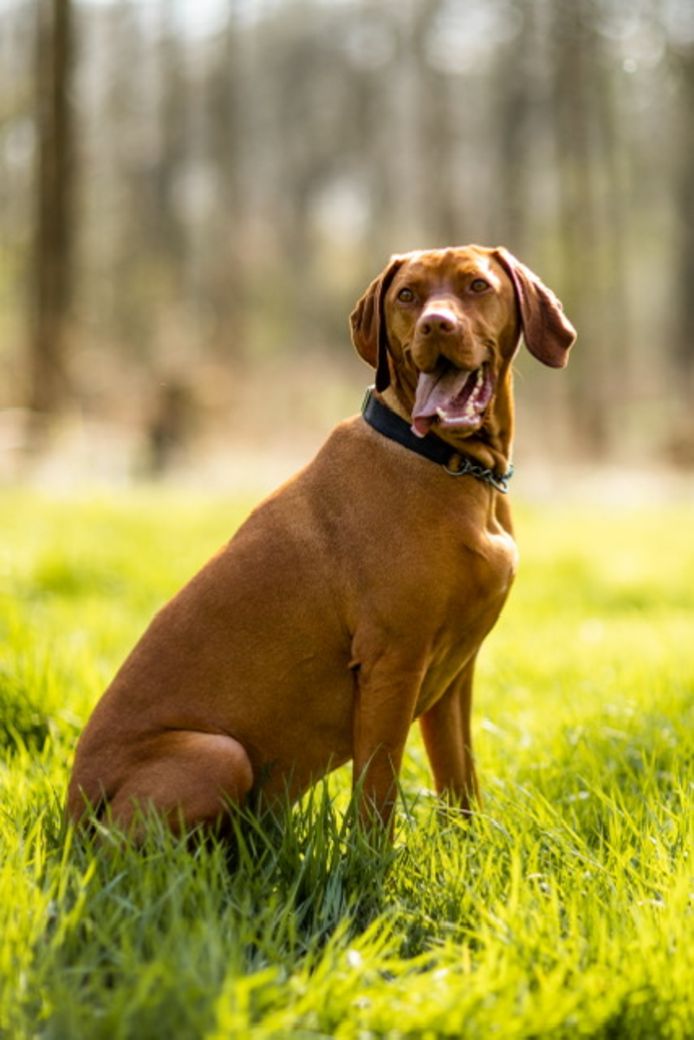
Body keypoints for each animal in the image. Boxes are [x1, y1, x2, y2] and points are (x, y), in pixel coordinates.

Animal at [66, 243, 574, 836]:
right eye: (408, 295)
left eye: (477, 285)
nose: (436, 324)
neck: (445, 462)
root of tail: (71, 814)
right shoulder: (392, 663)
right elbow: (377, 794)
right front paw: (373, 861)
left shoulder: (455, 674)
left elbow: (459, 781)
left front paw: (465, 846)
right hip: (218, 754)